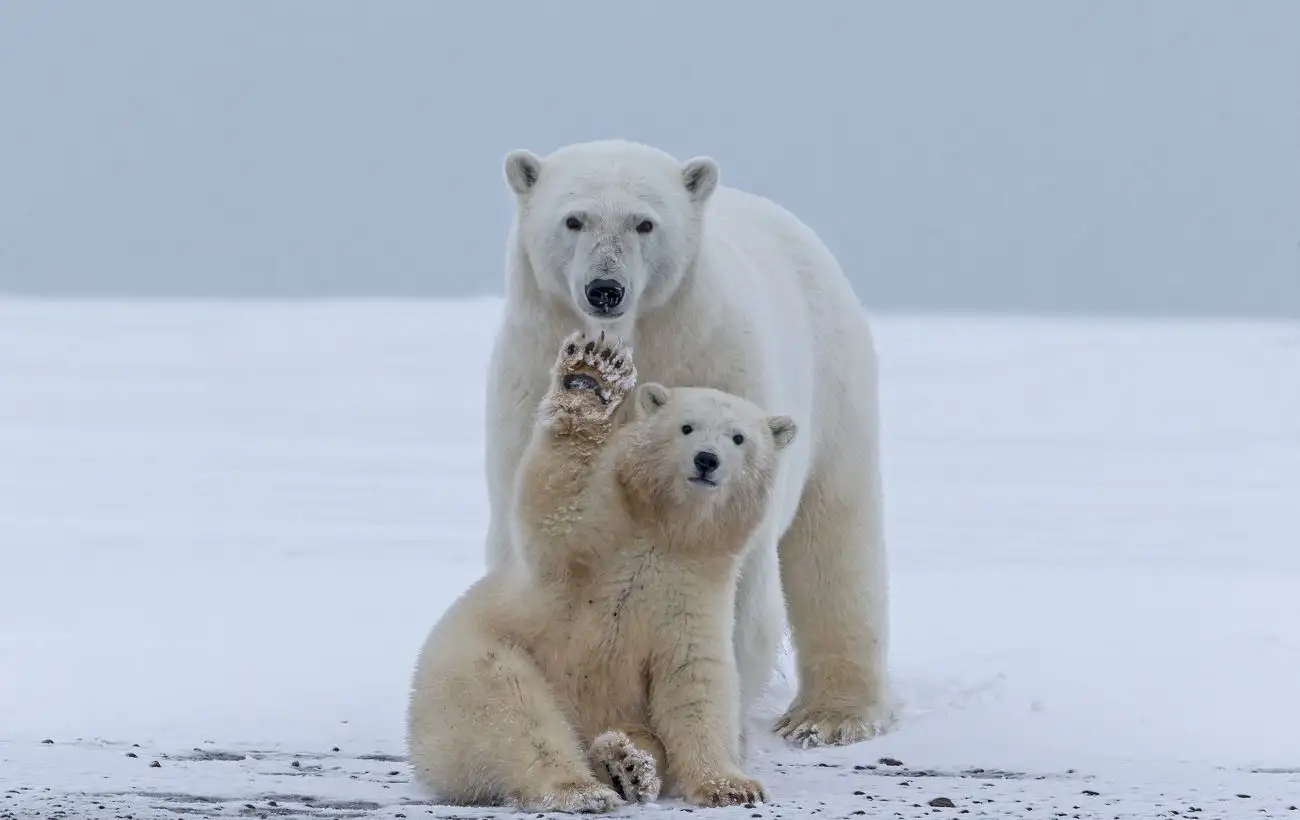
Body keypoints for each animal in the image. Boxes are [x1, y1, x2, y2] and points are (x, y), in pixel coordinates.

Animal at [405, 330, 790, 810]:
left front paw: (731, 786)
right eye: (686, 427)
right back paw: (580, 786)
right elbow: (556, 506)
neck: (664, 534)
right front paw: (592, 377)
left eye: (738, 438)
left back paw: (627, 766)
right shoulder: (596, 543)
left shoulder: (693, 593)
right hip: (473, 661)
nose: (707, 460)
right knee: (512, 710)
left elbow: (695, 682)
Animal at [486, 139, 894, 743]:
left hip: (836, 381)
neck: (636, 338)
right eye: (574, 219)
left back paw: (831, 715)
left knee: (835, 537)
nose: (605, 290)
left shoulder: (715, 362)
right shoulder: (529, 374)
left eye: (644, 223)